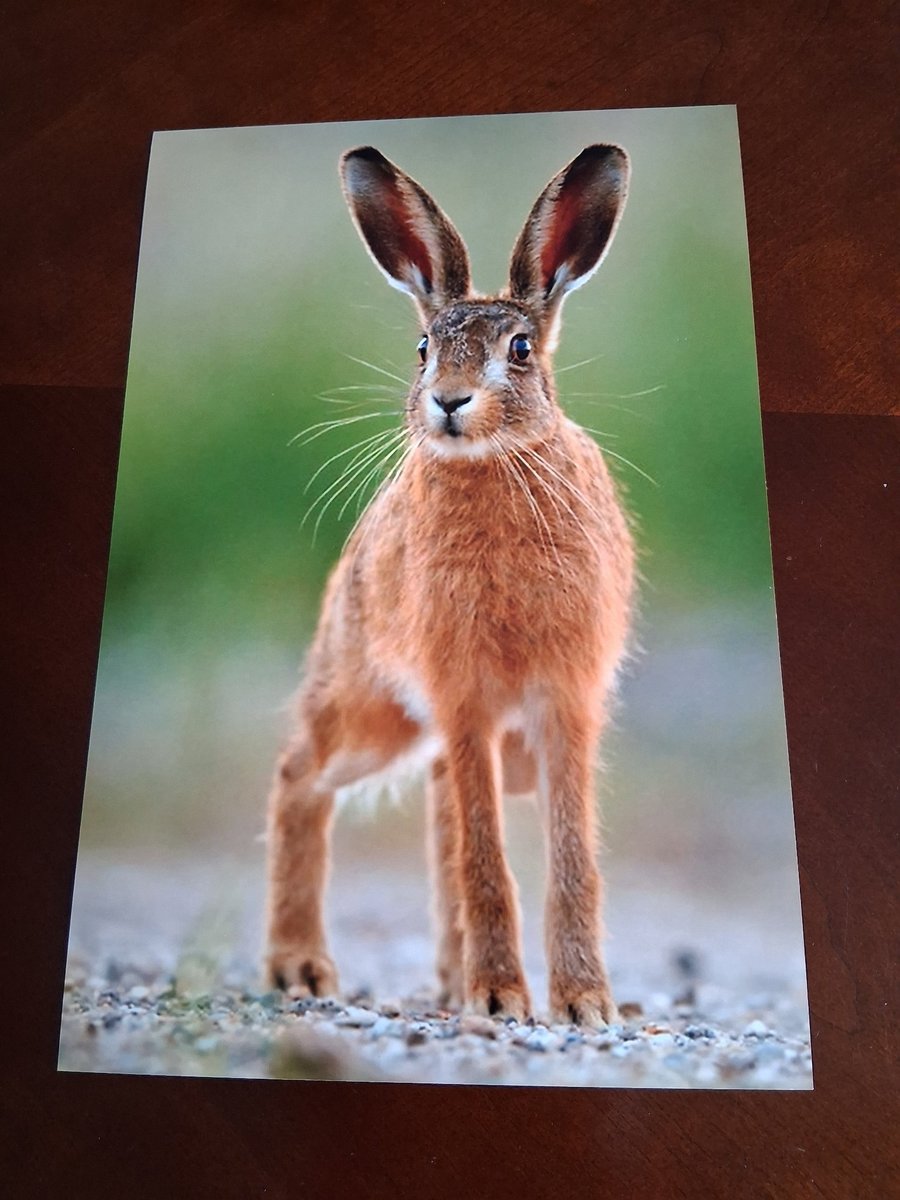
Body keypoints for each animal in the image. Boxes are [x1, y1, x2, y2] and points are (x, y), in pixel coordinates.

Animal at [265, 142, 634, 1026]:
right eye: (423, 349)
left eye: (521, 350)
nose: (448, 403)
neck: (495, 467)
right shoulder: (462, 697)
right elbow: (484, 856)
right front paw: (501, 1000)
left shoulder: (565, 702)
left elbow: (571, 858)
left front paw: (583, 1005)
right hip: (371, 707)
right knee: (299, 779)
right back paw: (301, 967)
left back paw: (446, 978)